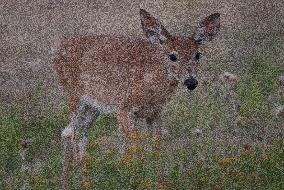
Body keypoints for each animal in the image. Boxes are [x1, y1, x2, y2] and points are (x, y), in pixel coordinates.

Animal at [53, 8, 221, 185]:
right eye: (173, 56)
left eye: (197, 55)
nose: (191, 81)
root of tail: (58, 47)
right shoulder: (123, 107)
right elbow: (136, 144)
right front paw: (138, 177)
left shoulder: (155, 112)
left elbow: (156, 146)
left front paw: (157, 178)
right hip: (74, 96)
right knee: (75, 134)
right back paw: (83, 180)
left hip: (93, 106)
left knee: (73, 132)